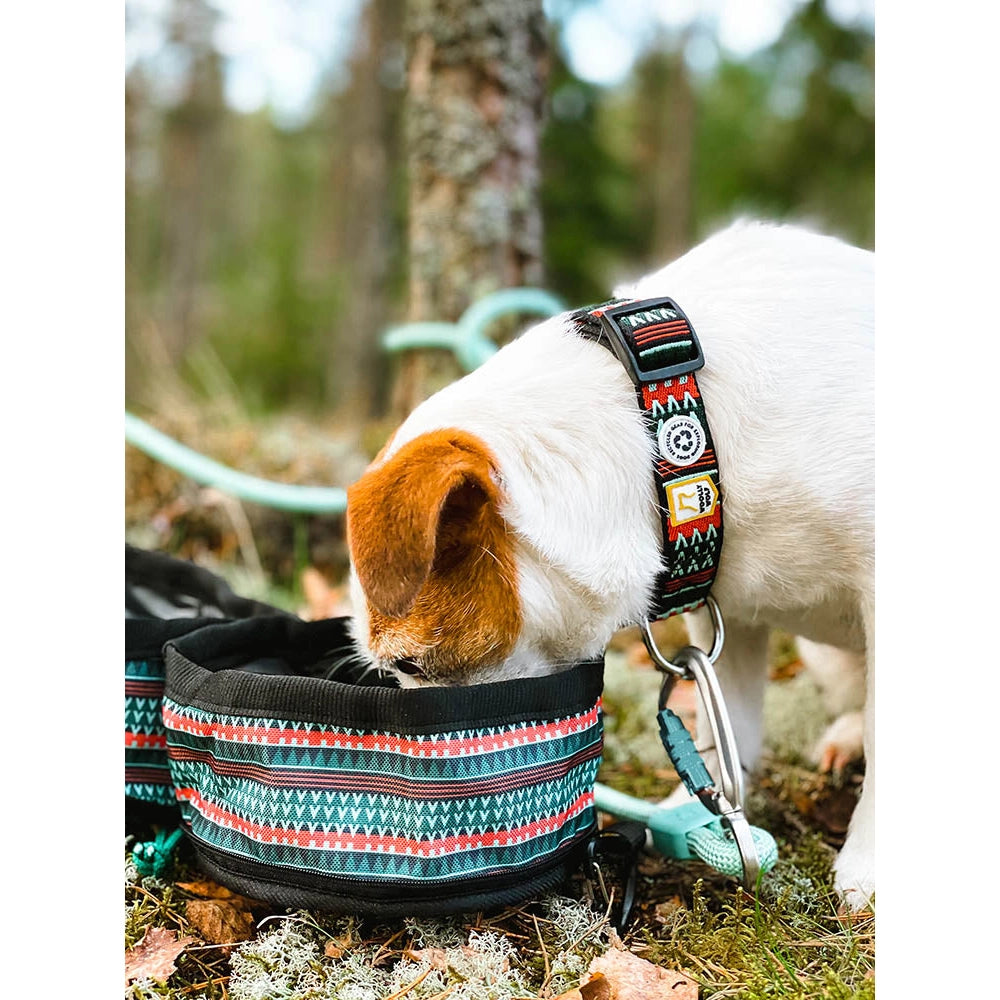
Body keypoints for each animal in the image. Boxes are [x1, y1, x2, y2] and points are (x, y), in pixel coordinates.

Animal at [346, 223, 876, 912]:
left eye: (410, 666)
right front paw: (702, 817)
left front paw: (871, 858)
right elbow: (726, 729)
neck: (673, 427)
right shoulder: (723, 613)